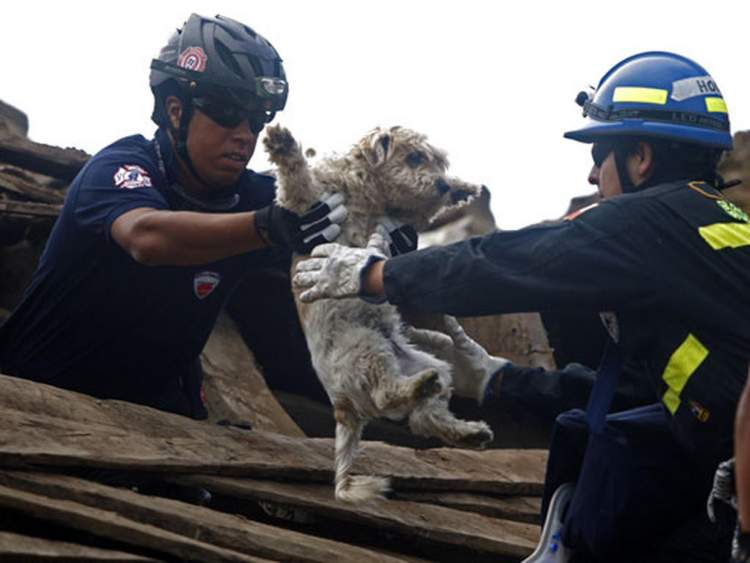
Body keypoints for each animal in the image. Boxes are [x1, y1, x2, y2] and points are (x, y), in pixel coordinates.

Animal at [264, 125, 494, 504]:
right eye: (414, 157)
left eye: (439, 162)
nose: (442, 185)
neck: (370, 196)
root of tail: (341, 406)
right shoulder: (310, 201)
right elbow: (297, 177)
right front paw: (281, 143)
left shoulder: (406, 217)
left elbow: (420, 215)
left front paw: (461, 187)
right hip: (367, 349)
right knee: (387, 395)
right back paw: (426, 392)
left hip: (431, 366)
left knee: (422, 416)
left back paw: (466, 429)